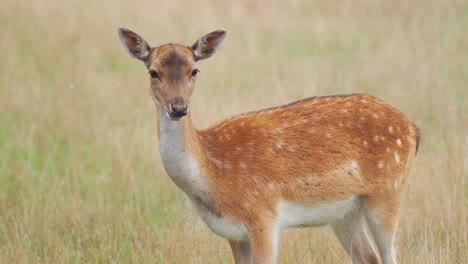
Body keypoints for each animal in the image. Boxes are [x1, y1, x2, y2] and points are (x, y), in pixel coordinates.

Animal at [117, 27, 420, 264]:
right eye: (153, 72)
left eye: (195, 70)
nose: (179, 108)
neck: (212, 174)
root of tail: (413, 129)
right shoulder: (233, 234)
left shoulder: (264, 217)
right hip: (346, 211)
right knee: (368, 256)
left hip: (388, 190)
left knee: (390, 255)